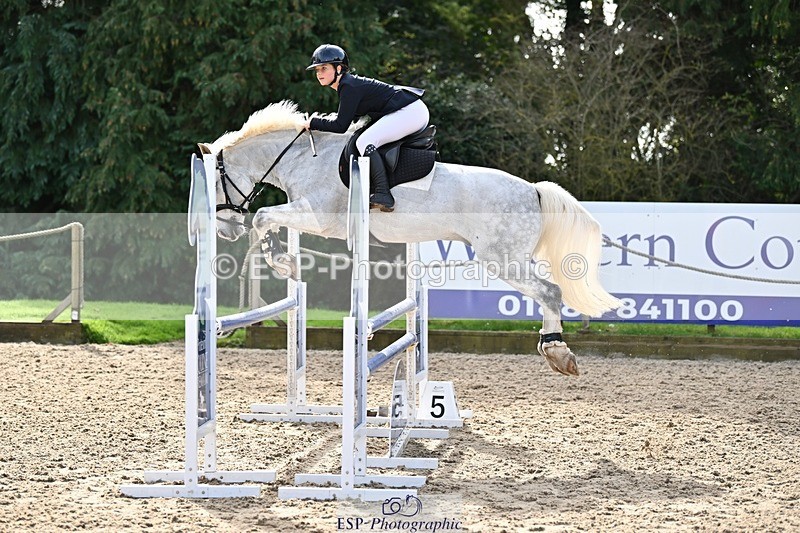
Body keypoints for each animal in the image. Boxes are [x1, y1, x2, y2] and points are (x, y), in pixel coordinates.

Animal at [198, 100, 620, 376]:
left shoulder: (319, 215)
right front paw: (283, 259)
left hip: (503, 259)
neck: (303, 157)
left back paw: (558, 353)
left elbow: (262, 217)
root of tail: (533, 190)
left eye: (216, 183)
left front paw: (281, 261)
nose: (224, 230)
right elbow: (267, 221)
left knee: (550, 291)